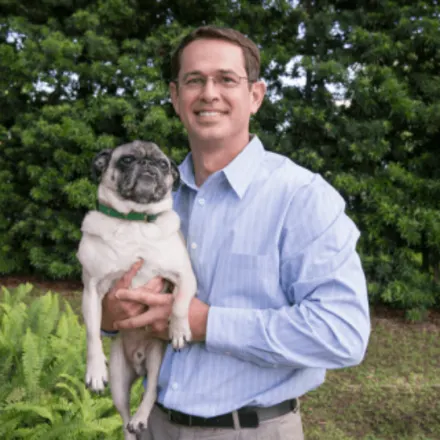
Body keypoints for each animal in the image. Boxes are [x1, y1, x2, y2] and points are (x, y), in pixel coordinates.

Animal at [76, 141, 197, 440]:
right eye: (127, 160)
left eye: (163, 164)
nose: (148, 165)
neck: (134, 220)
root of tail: (140, 364)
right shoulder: (92, 290)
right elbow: (92, 335)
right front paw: (94, 370)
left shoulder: (185, 276)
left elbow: (179, 304)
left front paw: (179, 330)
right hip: (119, 380)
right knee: (123, 416)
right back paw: (132, 427)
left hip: (156, 361)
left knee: (151, 391)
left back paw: (141, 418)